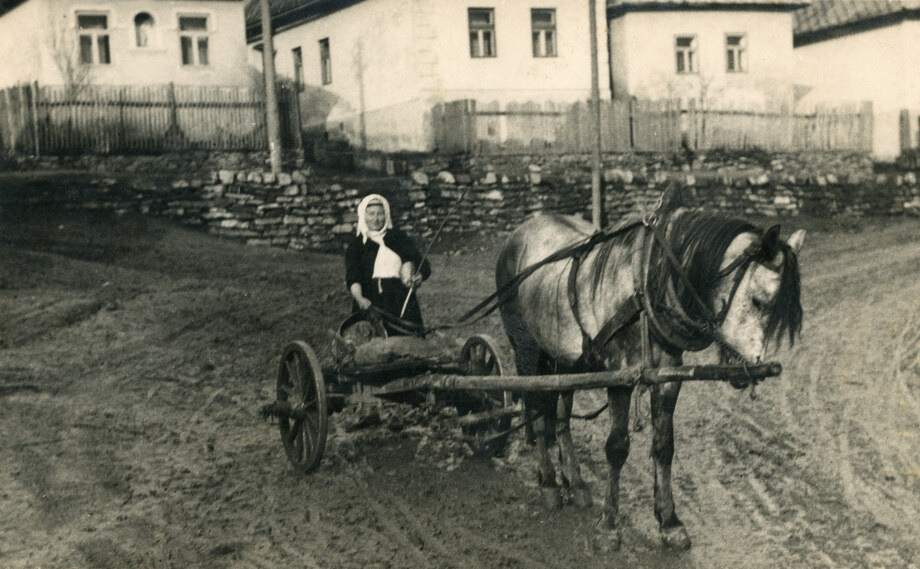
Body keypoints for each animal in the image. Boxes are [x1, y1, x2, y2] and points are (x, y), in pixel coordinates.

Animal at [496, 205, 804, 552]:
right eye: (758, 301)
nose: (752, 366)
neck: (644, 285)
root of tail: (521, 230)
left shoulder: (668, 375)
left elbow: (664, 445)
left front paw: (670, 522)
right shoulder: (619, 377)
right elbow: (617, 448)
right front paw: (608, 526)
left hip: (567, 359)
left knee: (559, 415)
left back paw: (574, 482)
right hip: (528, 349)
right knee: (536, 409)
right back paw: (549, 482)